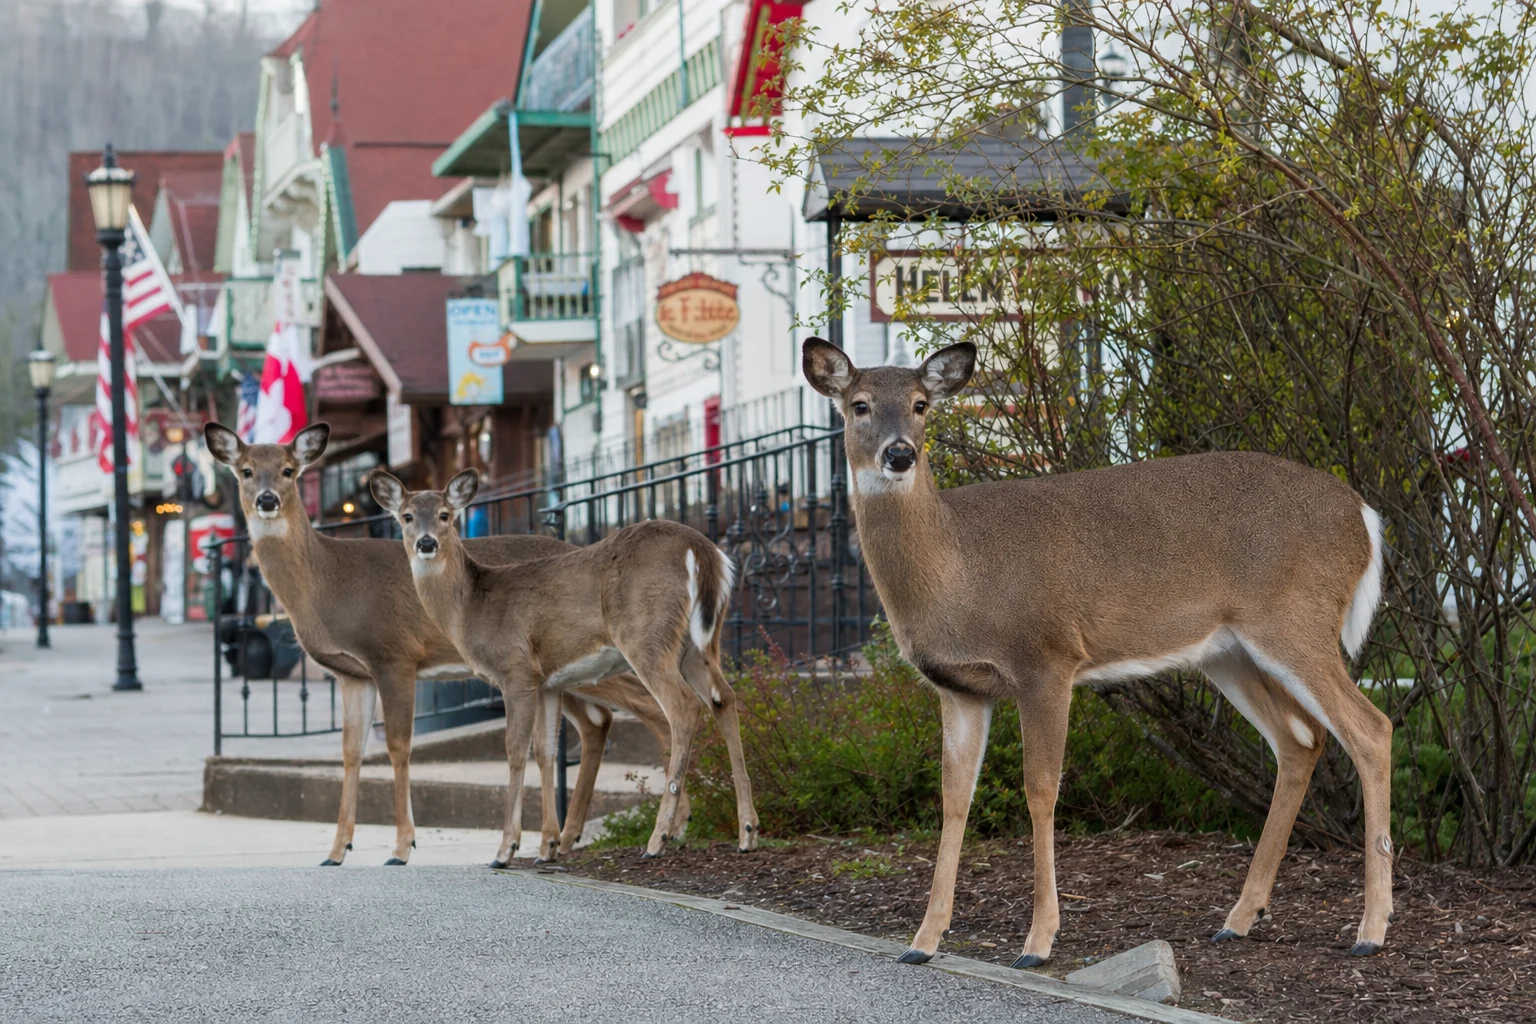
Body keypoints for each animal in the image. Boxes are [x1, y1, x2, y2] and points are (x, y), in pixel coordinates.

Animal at [203, 421, 688, 867]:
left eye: (288, 470)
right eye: (246, 471)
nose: (267, 499)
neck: (328, 580)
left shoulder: (393, 655)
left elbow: (398, 745)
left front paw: (402, 847)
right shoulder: (352, 674)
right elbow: (351, 750)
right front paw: (337, 850)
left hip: (598, 657)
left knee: (656, 708)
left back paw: (669, 829)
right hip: (563, 672)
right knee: (598, 721)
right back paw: (566, 839)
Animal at [369, 467, 761, 862]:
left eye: (445, 514)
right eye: (406, 516)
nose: (427, 543)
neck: (472, 608)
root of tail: (701, 549)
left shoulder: (516, 669)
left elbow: (515, 751)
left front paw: (506, 849)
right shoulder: (547, 682)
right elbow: (545, 751)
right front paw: (547, 846)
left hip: (646, 635)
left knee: (683, 706)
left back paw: (658, 838)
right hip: (699, 642)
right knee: (724, 697)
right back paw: (747, 832)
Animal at [801, 337, 1393, 966]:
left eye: (919, 404)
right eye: (859, 405)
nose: (900, 454)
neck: (958, 569)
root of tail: (1364, 516)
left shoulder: (1046, 658)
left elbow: (1040, 789)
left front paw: (1038, 941)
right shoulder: (960, 688)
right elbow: (954, 797)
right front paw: (923, 940)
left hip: (1295, 621)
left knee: (1370, 729)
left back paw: (1370, 930)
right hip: (1227, 651)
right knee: (1300, 740)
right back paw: (1239, 919)